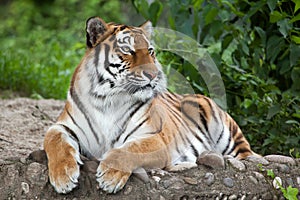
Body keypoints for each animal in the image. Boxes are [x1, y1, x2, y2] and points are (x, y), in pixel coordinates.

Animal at [43, 16, 256, 195]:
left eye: (151, 51)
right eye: (128, 50)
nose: (154, 75)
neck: (107, 99)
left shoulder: (155, 138)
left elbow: (128, 150)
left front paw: (110, 175)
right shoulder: (62, 126)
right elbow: (55, 142)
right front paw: (63, 177)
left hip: (227, 133)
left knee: (248, 155)